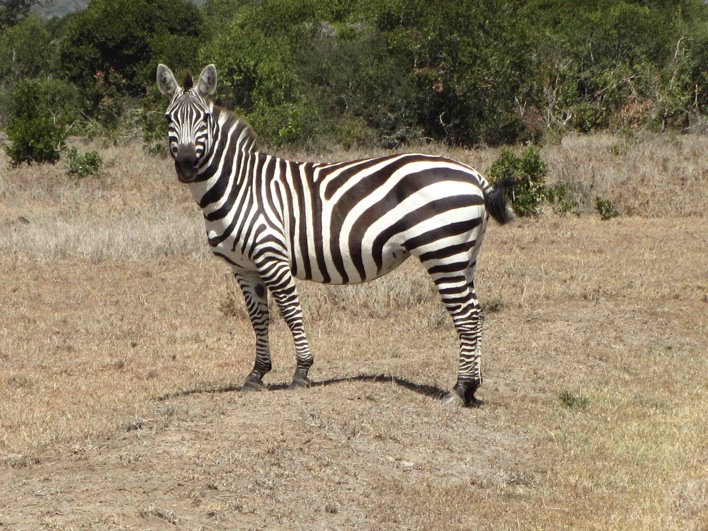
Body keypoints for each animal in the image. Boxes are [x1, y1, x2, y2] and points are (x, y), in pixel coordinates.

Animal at [156, 64, 514, 407]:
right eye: (168, 119)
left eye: (204, 119)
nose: (186, 165)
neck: (238, 187)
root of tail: (473, 174)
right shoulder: (242, 267)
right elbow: (259, 318)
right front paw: (257, 374)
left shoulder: (271, 256)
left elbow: (290, 312)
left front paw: (302, 371)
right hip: (464, 255)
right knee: (477, 312)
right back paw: (472, 389)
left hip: (443, 251)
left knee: (466, 316)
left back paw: (459, 389)